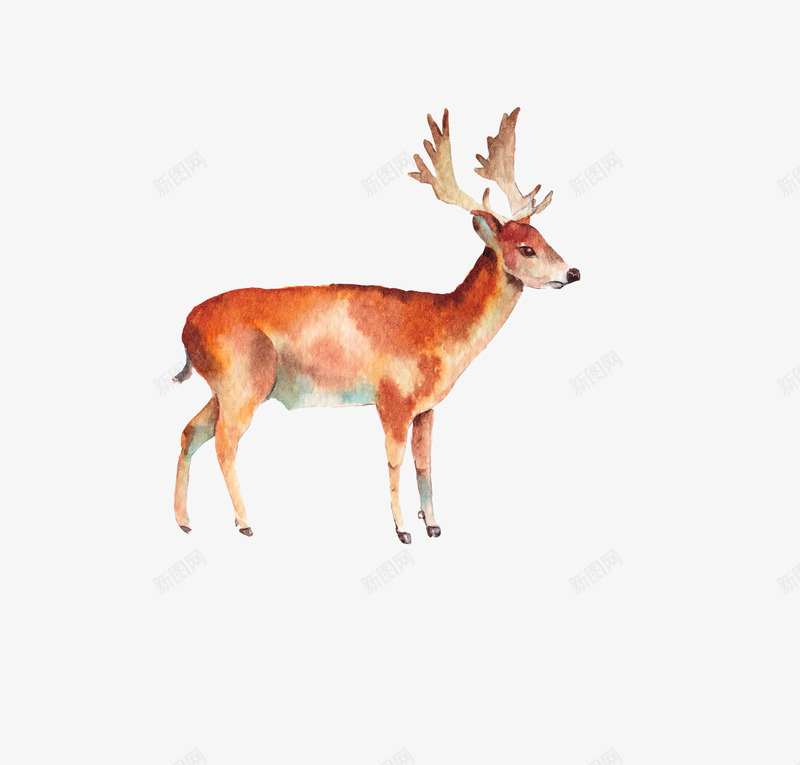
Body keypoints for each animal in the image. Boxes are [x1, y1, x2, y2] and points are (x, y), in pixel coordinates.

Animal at [172, 107, 580, 543]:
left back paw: (185, 521)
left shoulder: (426, 407)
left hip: (224, 386)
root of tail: (186, 327)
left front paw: (433, 525)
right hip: (244, 380)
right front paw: (402, 530)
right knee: (224, 442)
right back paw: (245, 522)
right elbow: (394, 461)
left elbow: (424, 463)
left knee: (191, 431)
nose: (572, 272)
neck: (441, 329)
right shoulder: (393, 398)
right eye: (526, 248)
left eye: (544, 236)